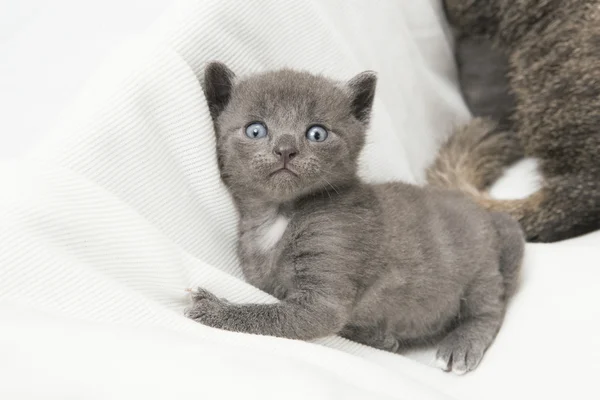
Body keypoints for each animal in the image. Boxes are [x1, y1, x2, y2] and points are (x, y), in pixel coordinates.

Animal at [185, 62, 524, 376]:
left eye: (317, 133)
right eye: (255, 130)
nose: (285, 149)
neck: (279, 213)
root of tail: (485, 215)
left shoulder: (325, 289)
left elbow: (272, 317)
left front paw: (214, 310)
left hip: (481, 273)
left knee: (490, 310)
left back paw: (460, 345)